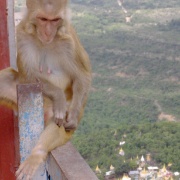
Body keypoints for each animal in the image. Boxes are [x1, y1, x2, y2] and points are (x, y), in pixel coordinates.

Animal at [0, 0, 91, 179]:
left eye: (55, 20)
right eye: (43, 19)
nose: (48, 32)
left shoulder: (68, 41)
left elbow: (82, 76)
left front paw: (72, 115)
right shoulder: (22, 36)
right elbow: (27, 77)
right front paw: (58, 96)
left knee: (58, 123)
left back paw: (37, 153)